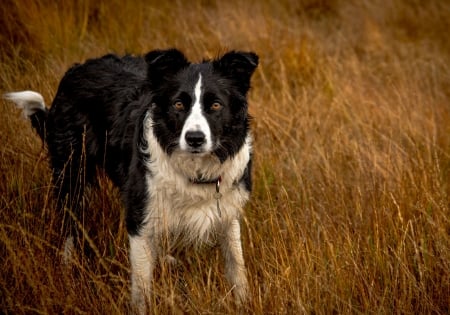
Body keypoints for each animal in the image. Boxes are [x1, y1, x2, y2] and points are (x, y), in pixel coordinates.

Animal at [3, 49, 258, 314]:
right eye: (178, 104)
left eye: (216, 105)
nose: (195, 138)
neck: (196, 170)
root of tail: (77, 69)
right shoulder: (140, 216)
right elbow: (142, 286)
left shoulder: (227, 211)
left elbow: (237, 265)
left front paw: (244, 303)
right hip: (72, 171)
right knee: (70, 224)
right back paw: (66, 268)